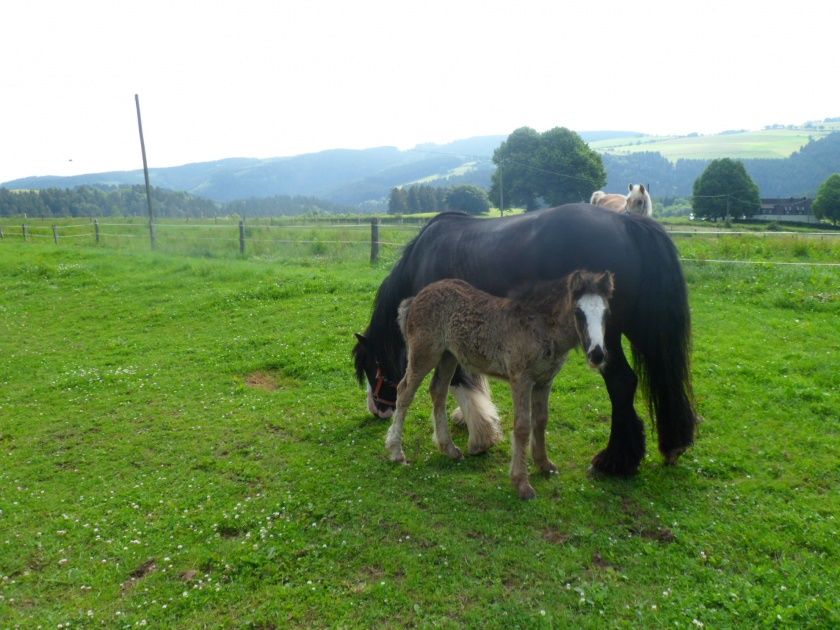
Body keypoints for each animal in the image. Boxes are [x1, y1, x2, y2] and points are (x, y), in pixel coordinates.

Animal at [352, 205, 696, 476]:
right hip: (643, 332)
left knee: (623, 382)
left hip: (604, 339)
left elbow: (462, 383)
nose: (378, 410)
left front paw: (480, 436)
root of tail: (626, 221)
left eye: (371, 366)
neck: (424, 256)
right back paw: (671, 445)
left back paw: (614, 461)